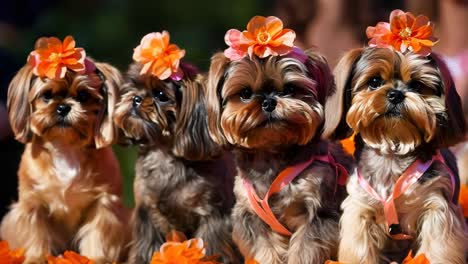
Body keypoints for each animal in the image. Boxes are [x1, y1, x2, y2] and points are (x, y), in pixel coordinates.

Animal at [0, 36, 129, 262]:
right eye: (46, 96)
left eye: (84, 96)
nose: (63, 107)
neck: (65, 147)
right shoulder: (32, 204)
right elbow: (35, 234)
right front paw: (35, 258)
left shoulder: (104, 204)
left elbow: (98, 235)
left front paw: (95, 259)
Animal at [112, 31, 238, 264]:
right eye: (132, 87)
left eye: (161, 96)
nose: (136, 99)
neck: (165, 155)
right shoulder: (147, 215)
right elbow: (146, 248)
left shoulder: (213, 216)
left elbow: (212, 248)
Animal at [205, 16, 352, 264]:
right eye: (245, 93)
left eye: (290, 88)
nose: (268, 101)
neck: (272, 155)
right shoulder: (250, 215)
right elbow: (266, 249)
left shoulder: (319, 210)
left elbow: (304, 249)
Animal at [324, 46, 468, 262]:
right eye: (374, 81)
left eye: (417, 85)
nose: (396, 94)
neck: (392, 152)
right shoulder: (360, 210)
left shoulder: (437, 207)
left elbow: (438, 249)